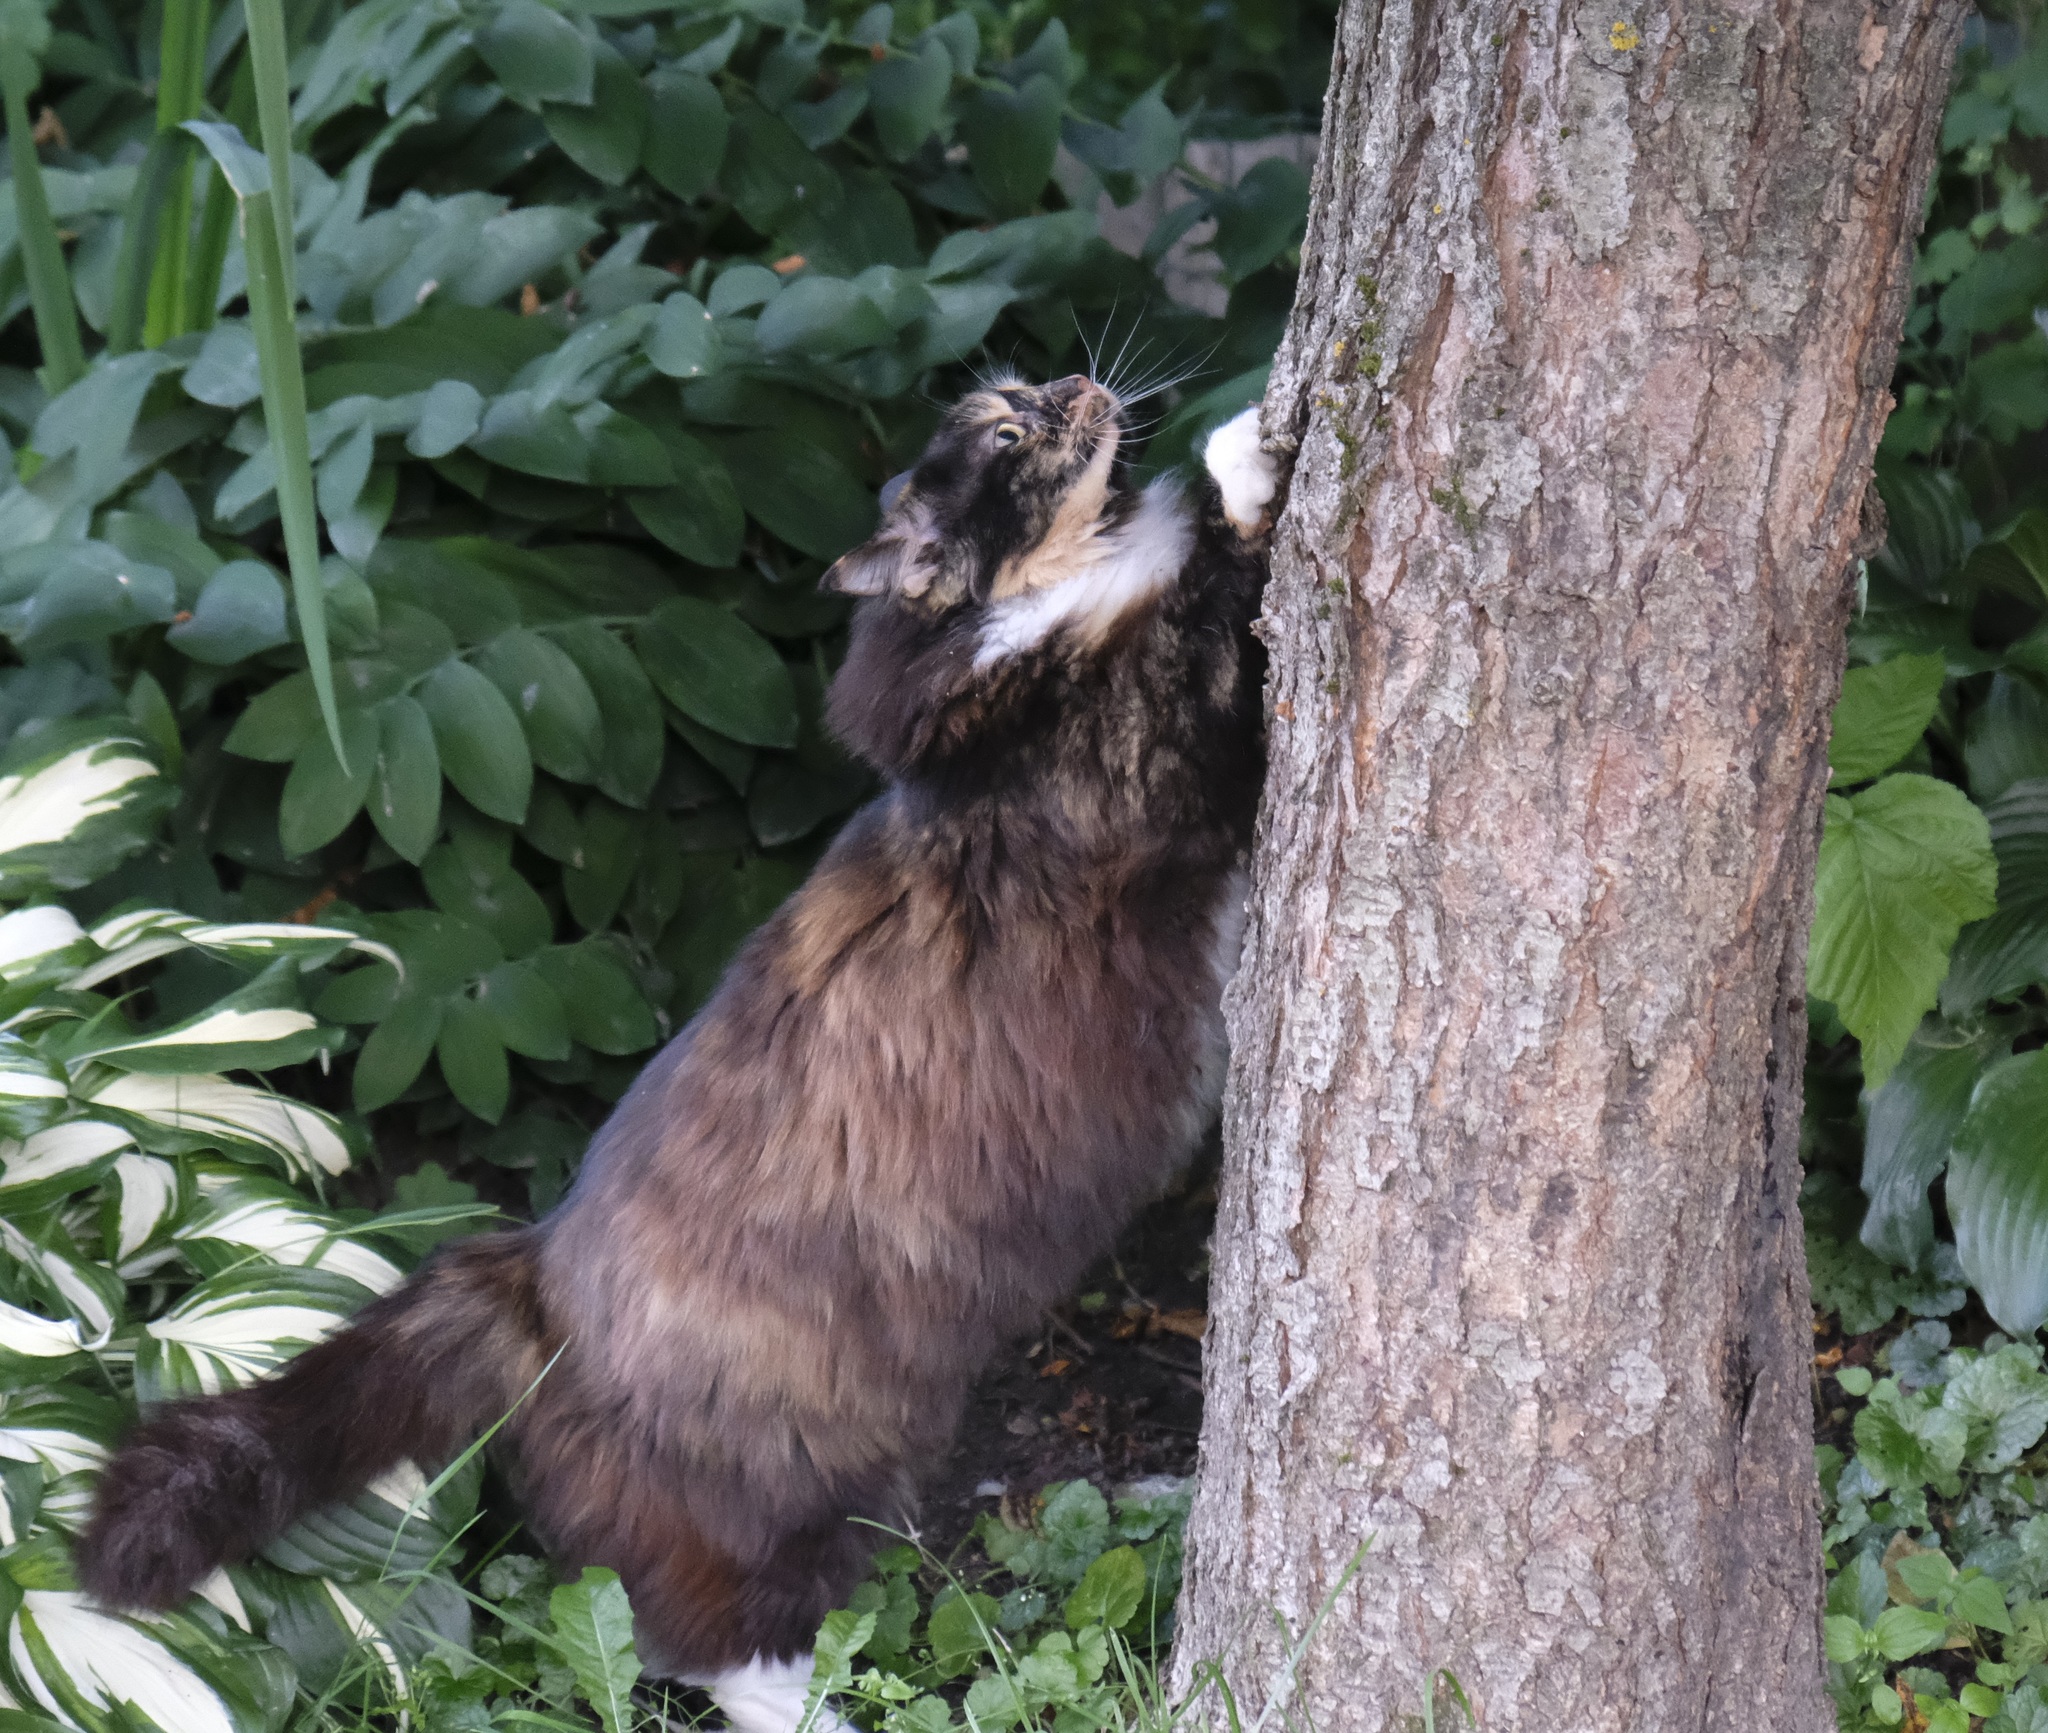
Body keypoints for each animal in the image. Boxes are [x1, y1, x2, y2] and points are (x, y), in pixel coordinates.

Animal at [88, 372, 1286, 1728]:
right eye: (1007, 432)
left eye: (1018, 395)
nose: (1077, 384)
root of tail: (530, 1276)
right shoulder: (1170, 744)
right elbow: (1229, 581)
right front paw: (1250, 443)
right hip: (791, 1498)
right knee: (707, 1638)